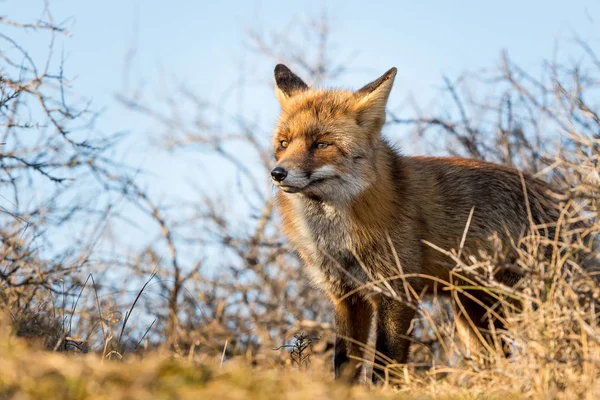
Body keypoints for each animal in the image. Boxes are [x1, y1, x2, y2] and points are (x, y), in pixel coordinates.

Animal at [270, 63, 560, 382]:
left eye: (321, 144)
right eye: (283, 143)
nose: (277, 173)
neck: (338, 240)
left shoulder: (398, 290)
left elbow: (385, 363)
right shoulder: (347, 295)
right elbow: (344, 361)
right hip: (472, 313)